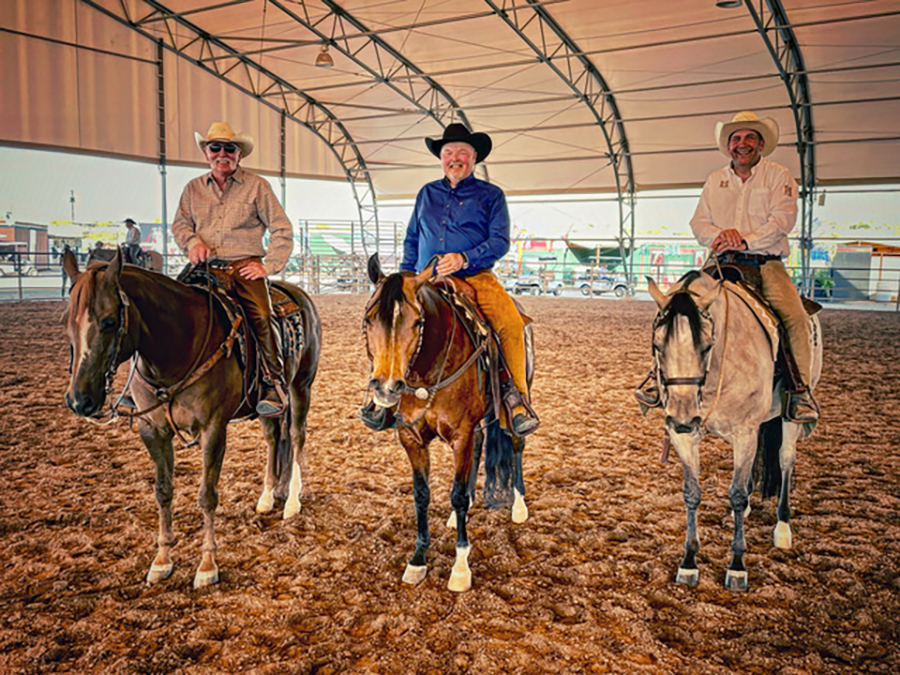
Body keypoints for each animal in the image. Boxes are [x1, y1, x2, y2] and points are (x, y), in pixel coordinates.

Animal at [60, 251, 320, 588]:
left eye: (108, 321)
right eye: (67, 322)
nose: (79, 400)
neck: (178, 348)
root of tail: (298, 292)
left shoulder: (213, 430)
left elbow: (207, 495)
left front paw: (207, 565)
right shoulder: (152, 431)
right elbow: (163, 491)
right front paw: (162, 560)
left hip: (301, 387)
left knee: (297, 436)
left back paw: (292, 502)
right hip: (267, 406)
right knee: (275, 439)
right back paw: (268, 496)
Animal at [364, 256, 532, 596]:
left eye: (417, 323)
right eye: (369, 319)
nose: (386, 387)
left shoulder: (461, 435)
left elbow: (455, 494)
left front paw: (460, 567)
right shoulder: (411, 436)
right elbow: (422, 494)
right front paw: (418, 559)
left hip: (514, 407)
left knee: (516, 443)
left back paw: (519, 506)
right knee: (480, 449)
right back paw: (459, 516)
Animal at [648, 270, 824, 592]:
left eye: (707, 346)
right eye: (658, 345)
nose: (682, 417)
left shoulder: (744, 432)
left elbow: (738, 494)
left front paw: (737, 566)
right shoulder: (684, 436)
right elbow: (692, 493)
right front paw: (689, 561)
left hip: (790, 419)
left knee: (785, 461)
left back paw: (783, 527)